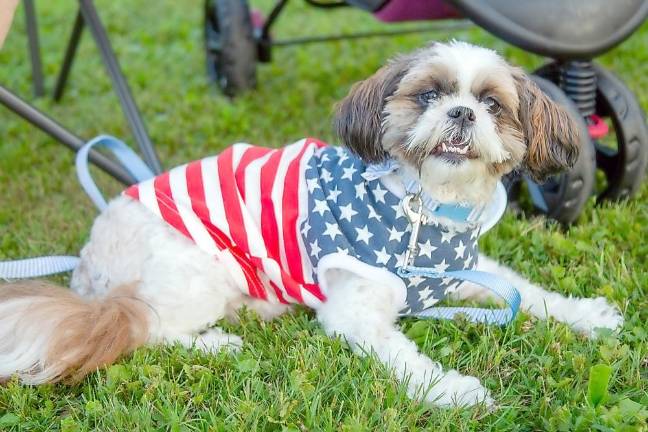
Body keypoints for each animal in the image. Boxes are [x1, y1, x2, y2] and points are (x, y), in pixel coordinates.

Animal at [0, 41, 624, 408]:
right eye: (428, 95)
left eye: (493, 104)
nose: (462, 113)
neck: (427, 206)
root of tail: (89, 271)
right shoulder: (357, 309)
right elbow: (407, 359)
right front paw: (452, 389)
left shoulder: (465, 270)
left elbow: (528, 293)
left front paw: (586, 315)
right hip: (200, 273)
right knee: (150, 327)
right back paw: (219, 343)